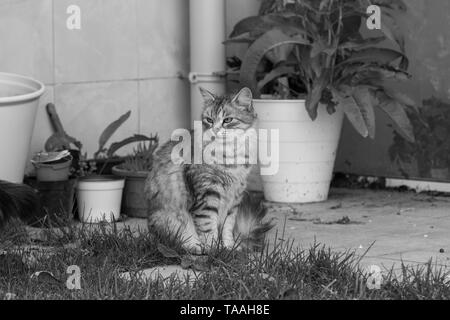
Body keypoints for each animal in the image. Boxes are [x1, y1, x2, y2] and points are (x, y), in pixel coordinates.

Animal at [144, 86, 274, 254]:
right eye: (209, 120)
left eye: (227, 120)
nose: (215, 129)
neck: (229, 156)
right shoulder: (207, 194)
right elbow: (208, 227)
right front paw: (213, 250)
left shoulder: (235, 197)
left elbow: (227, 227)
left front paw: (229, 247)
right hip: (169, 220)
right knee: (176, 242)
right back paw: (195, 247)